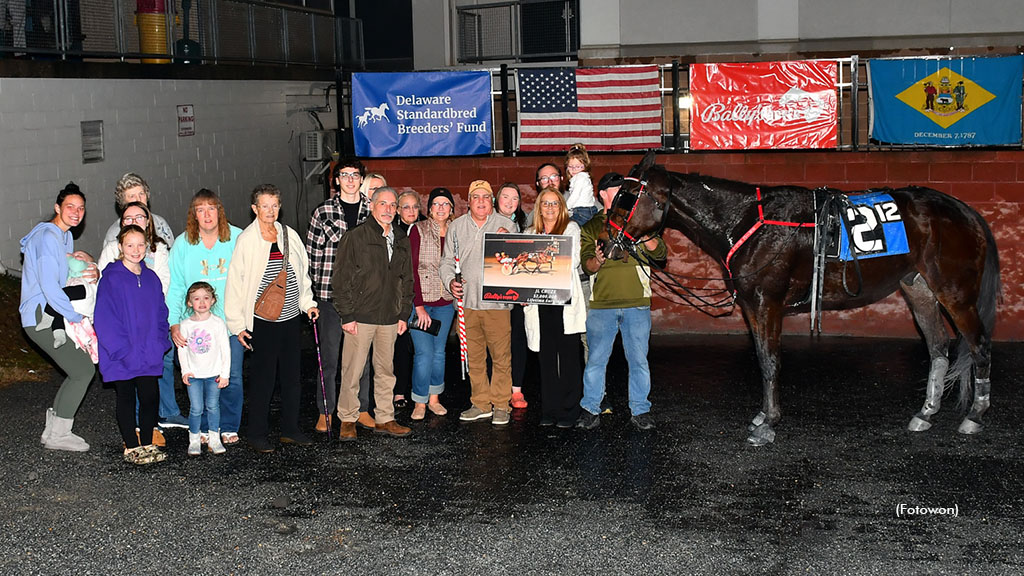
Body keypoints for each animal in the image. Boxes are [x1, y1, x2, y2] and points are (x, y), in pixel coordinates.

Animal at [606, 151, 999, 444]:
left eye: (628, 198)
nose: (607, 244)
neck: (748, 223)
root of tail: (964, 211)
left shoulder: (767, 304)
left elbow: (770, 361)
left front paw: (768, 424)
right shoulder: (752, 306)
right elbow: (762, 358)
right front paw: (763, 415)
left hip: (955, 294)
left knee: (978, 346)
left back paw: (975, 416)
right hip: (918, 289)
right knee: (938, 348)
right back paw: (925, 413)